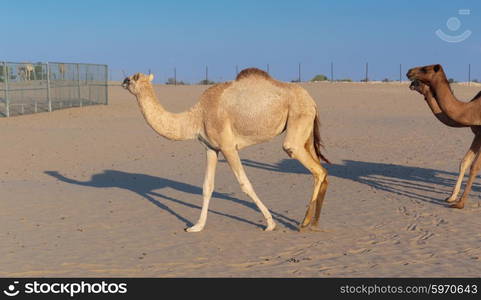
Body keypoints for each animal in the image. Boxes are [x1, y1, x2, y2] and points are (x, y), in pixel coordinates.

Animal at [120, 68, 330, 232]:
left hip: (298, 122)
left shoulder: (228, 146)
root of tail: (312, 101)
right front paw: (196, 226)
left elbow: (245, 184)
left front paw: (270, 224)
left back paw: (304, 223)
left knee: (315, 169)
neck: (196, 117)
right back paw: (315, 223)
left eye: (132, 78)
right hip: (306, 134)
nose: (123, 81)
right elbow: (207, 186)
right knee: (323, 171)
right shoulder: (211, 149)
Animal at [406, 65, 480, 209]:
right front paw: (451, 198)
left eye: (424, 69)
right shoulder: (478, 134)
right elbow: (464, 162)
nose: (409, 72)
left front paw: (460, 203)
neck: (472, 109)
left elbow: (474, 167)